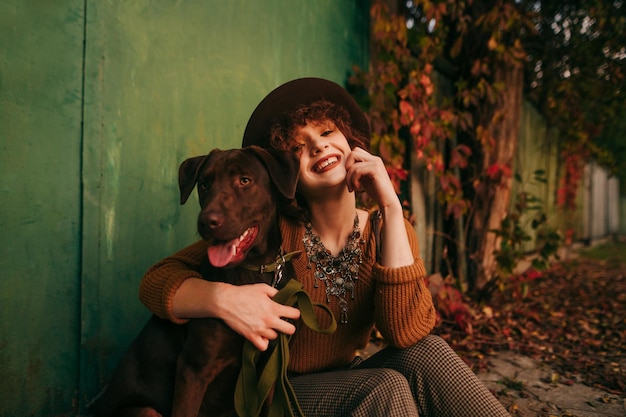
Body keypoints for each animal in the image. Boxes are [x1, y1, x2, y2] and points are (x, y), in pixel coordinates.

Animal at [89, 145, 300, 416]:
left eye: (245, 180)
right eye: (204, 184)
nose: (207, 221)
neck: (257, 269)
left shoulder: (268, 368)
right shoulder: (194, 368)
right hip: (145, 410)